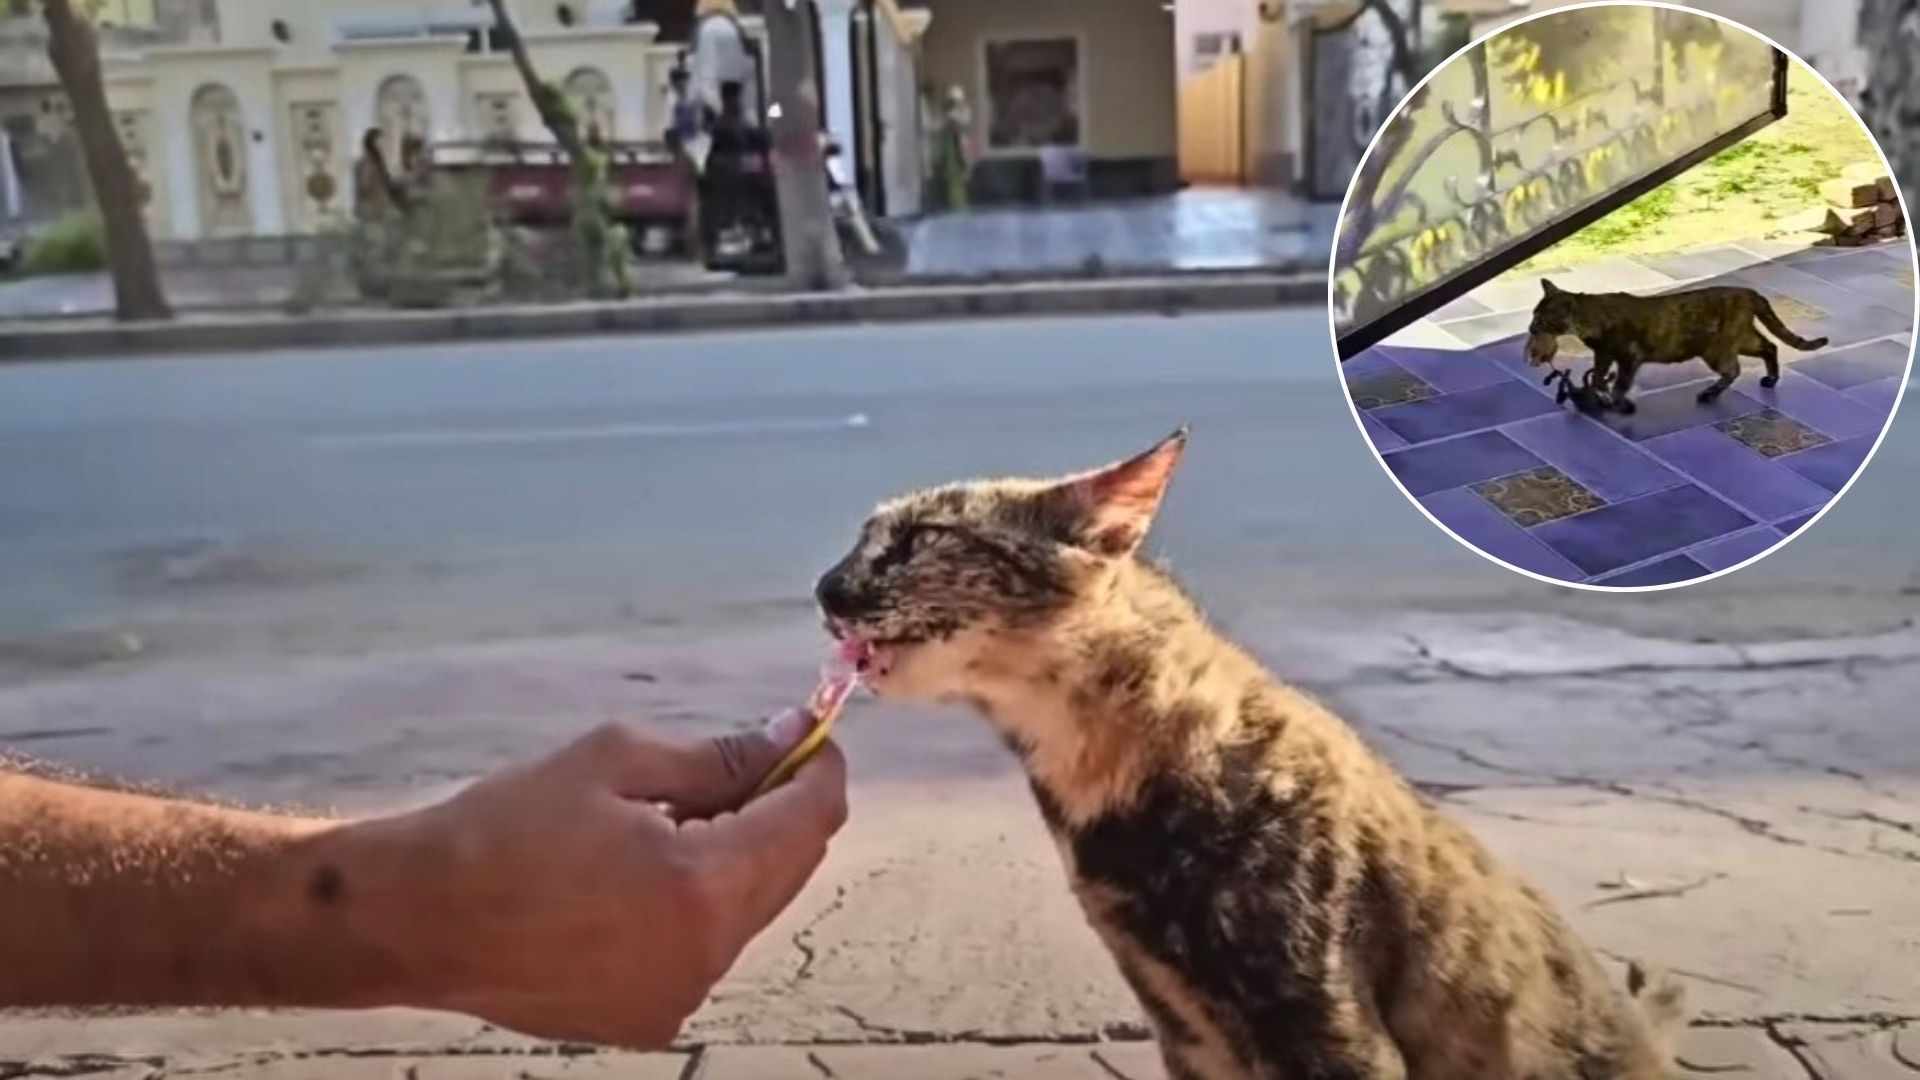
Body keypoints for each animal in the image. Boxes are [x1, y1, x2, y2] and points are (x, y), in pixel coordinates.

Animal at [1528, 276, 1827, 411]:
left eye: (1541, 319)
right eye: (1533, 315)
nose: (1530, 328)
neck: (1590, 320)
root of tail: (1748, 291)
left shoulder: (1628, 357)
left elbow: (1620, 383)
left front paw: (1619, 403)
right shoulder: (1603, 354)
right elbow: (1599, 377)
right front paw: (1602, 396)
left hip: (1718, 347)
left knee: (1735, 369)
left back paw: (1710, 394)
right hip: (1742, 339)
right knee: (1770, 347)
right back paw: (1769, 380)